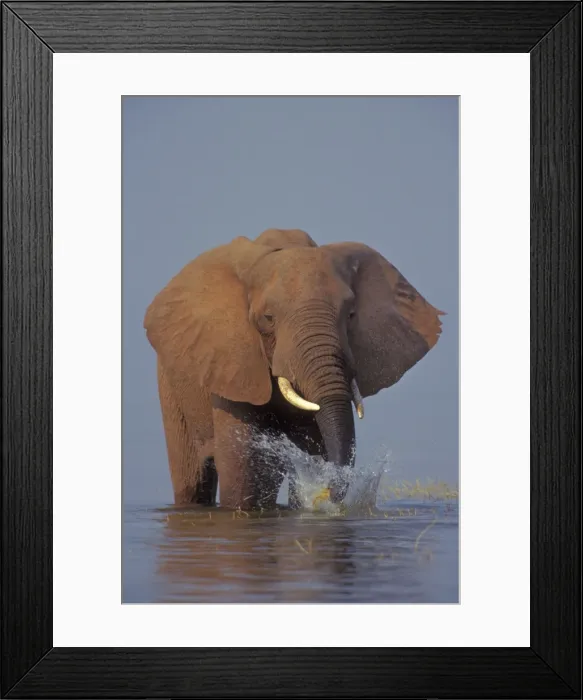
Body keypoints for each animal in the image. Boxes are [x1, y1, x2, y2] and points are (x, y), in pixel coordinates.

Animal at [144, 228, 444, 510]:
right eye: (268, 318)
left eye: (350, 315)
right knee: (192, 479)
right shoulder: (231, 363)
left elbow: (314, 446)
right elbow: (243, 467)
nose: (327, 495)